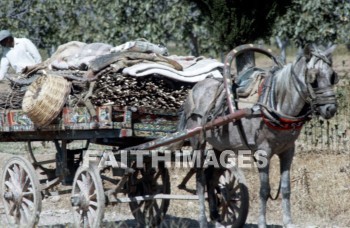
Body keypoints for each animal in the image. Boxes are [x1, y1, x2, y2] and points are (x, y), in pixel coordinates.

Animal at [179, 45, 338, 227]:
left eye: (333, 76)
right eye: (313, 79)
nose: (331, 109)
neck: (274, 104)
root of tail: (195, 87)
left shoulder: (288, 151)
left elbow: (286, 188)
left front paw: (288, 222)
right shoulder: (263, 153)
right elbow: (264, 190)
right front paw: (262, 222)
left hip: (221, 146)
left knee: (211, 178)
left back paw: (216, 215)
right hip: (197, 141)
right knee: (200, 180)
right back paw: (203, 219)